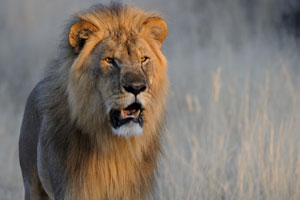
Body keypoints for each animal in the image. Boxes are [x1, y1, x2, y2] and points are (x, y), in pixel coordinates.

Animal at [18, 3, 168, 200]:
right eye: (109, 60)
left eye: (143, 59)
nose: (136, 87)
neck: (115, 147)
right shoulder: (70, 191)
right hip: (32, 184)